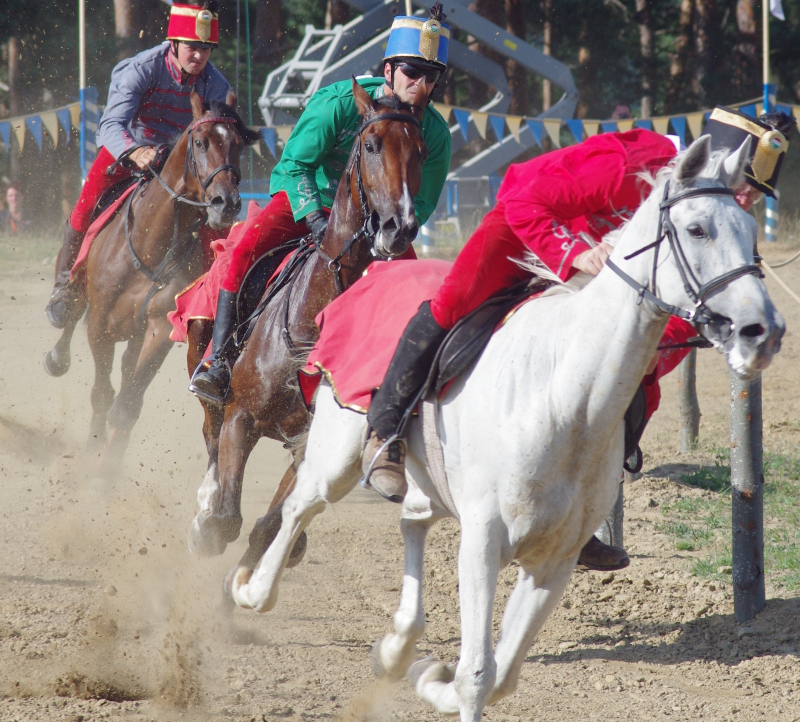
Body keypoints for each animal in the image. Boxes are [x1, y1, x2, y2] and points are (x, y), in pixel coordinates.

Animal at [44, 90, 258, 478]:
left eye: (237, 145)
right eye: (200, 142)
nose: (228, 202)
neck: (150, 243)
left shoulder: (159, 330)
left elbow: (128, 404)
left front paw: (109, 465)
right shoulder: (101, 326)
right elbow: (102, 394)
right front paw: (93, 451)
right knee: (72, 312)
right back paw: (58, 348)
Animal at [224, 137, 784, 721]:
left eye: (750, 228)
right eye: (697, 229)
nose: (761, 330)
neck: (565, 399)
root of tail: (363, 282)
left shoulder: (554, 561)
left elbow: (502, 675)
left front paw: (431, 678)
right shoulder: (483, 542)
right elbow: (476, 675)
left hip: (429, 483)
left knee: (411, 519)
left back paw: (398, 644)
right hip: (338, 452)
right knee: (299, 506)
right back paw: (249, 588)